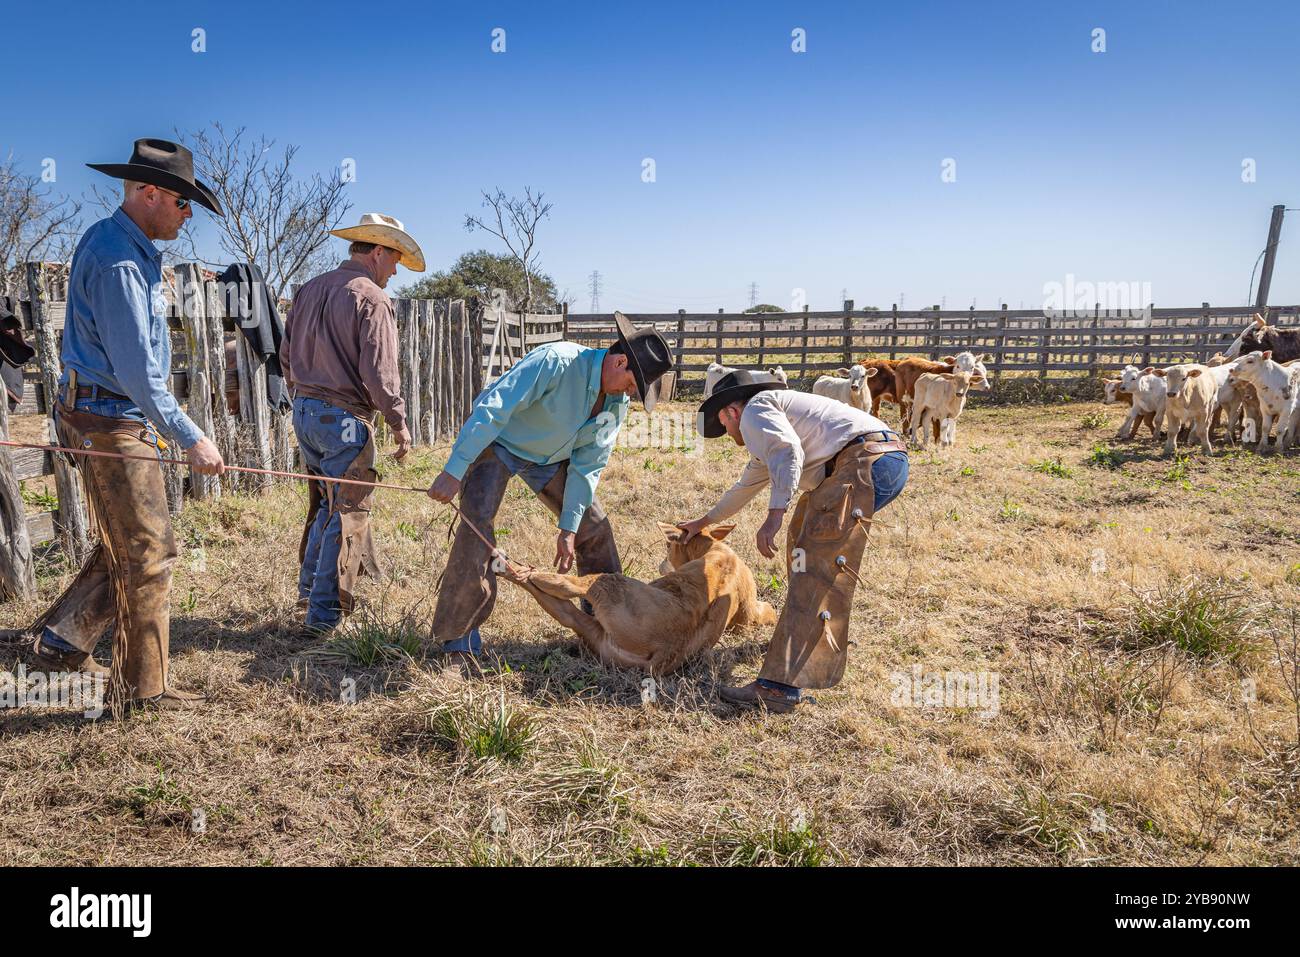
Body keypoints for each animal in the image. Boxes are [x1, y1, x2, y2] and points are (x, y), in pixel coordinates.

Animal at [496, 522, 769, 670]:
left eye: (668, 545)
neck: (718, 551)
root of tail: (665, 652)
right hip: (596, 636)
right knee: (563, 610)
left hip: (606, 584)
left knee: (564, 586)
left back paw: (509, 566)